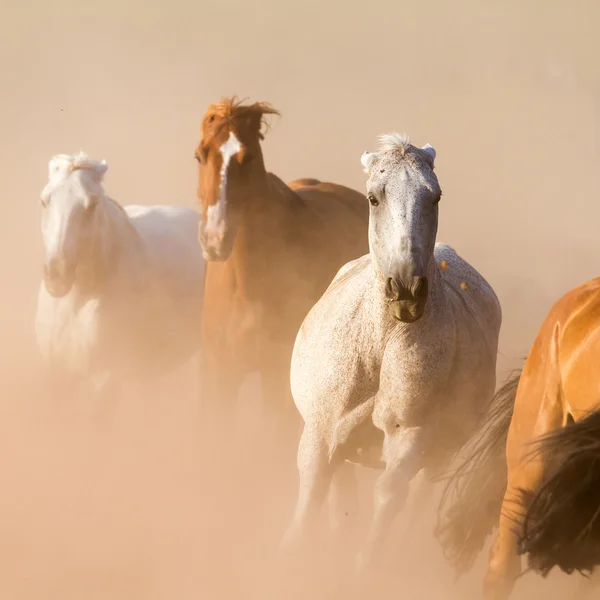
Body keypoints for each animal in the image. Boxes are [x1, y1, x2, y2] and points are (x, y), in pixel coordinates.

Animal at [280, 132, 502, 572]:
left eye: (435, 196)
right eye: (373, 198)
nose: (406, 290)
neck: (380, 345)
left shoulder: (410, 436)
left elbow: (389, 499)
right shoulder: (320, 432)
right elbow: (312, 497)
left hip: (438, 456)